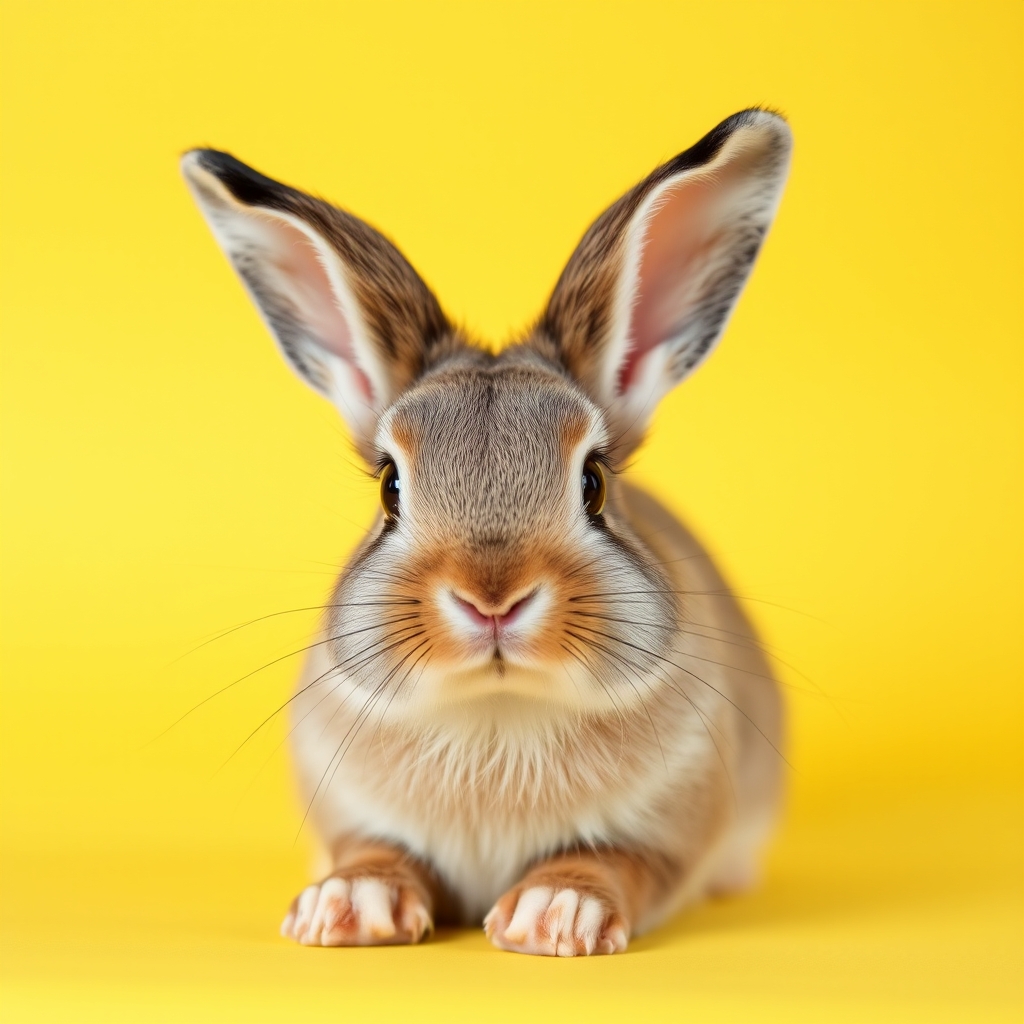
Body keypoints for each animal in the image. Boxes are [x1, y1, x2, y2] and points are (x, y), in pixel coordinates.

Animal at [182, 108, 790, 954]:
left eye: (595, 484)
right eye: (389, 487)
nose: (492, 598)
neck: (497, 712)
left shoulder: (671, 832)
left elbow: (616, 862)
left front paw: (556, 914)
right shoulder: (354, 814)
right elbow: (374, 851)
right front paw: (350, 905)